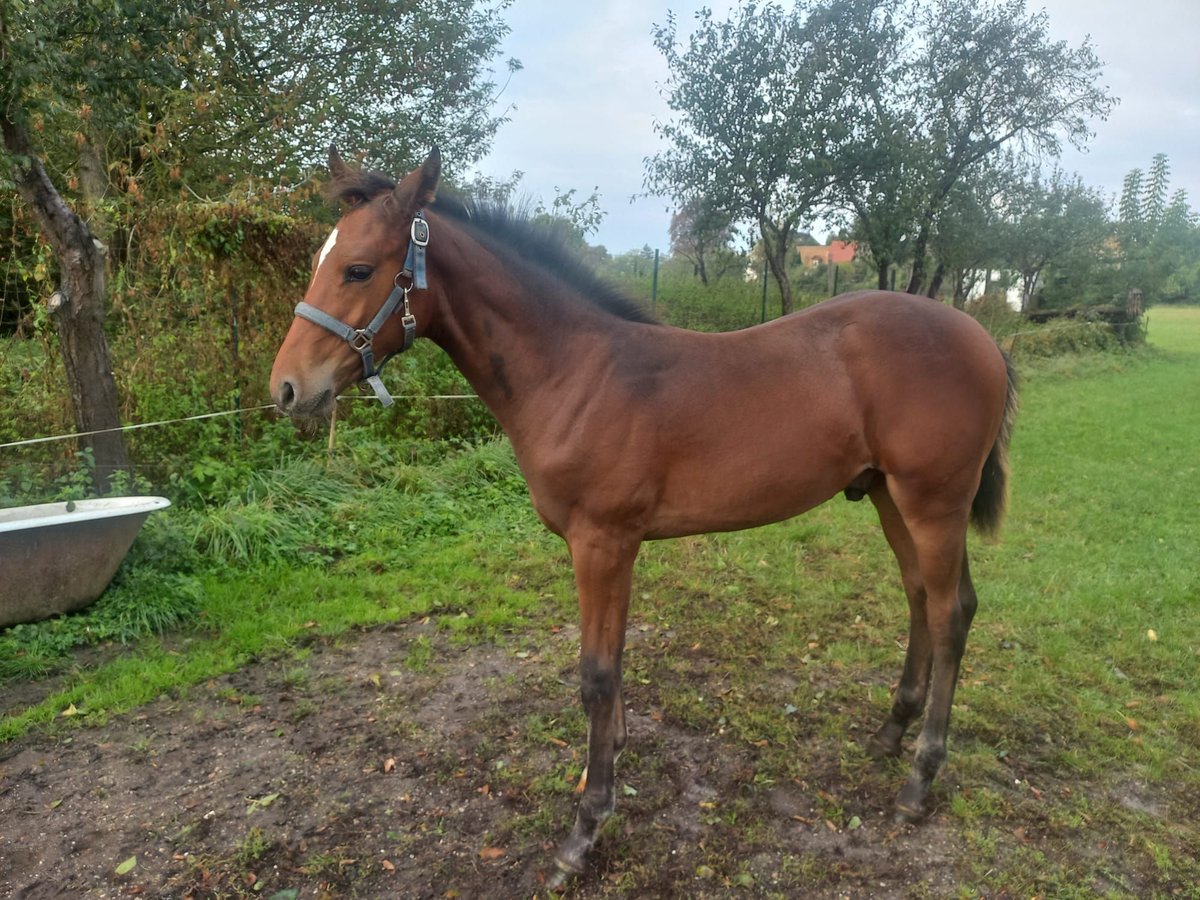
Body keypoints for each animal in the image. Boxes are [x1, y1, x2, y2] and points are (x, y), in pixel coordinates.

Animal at [272, 150, 1022, 888]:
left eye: (358, 268)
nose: (286, 389)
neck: (574, 373)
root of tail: (983, 338)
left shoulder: (602, 543)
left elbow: (596, 674)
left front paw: (583, 833)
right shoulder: (613, 547)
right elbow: (614, 664)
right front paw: (610, 762)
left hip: (934, 501)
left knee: (951, 612)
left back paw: (919, 781)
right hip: (891, 496)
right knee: (920, 598)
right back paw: (890, 736)